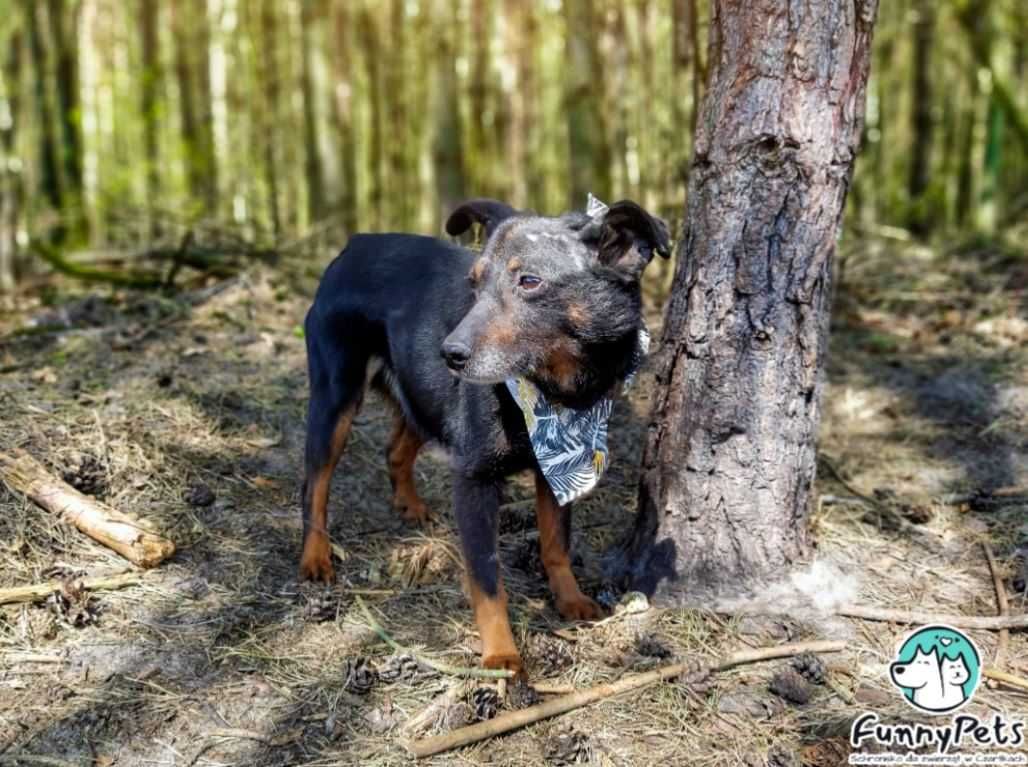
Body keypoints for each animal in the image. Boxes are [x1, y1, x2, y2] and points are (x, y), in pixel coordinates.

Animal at [298, 195, 670, 670]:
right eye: (473, 283)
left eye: (529, 282)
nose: (450, 353)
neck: (553, 391)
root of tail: (356, 244)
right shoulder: (473, 478)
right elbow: (487, 576)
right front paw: (500, 654)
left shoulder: (558, 471)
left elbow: (556, 545)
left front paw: (570, 600)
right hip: (336, 397)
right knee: (315, 483)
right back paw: (315, 556)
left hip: (424, 398)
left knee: (395, 449)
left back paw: (410, 506)